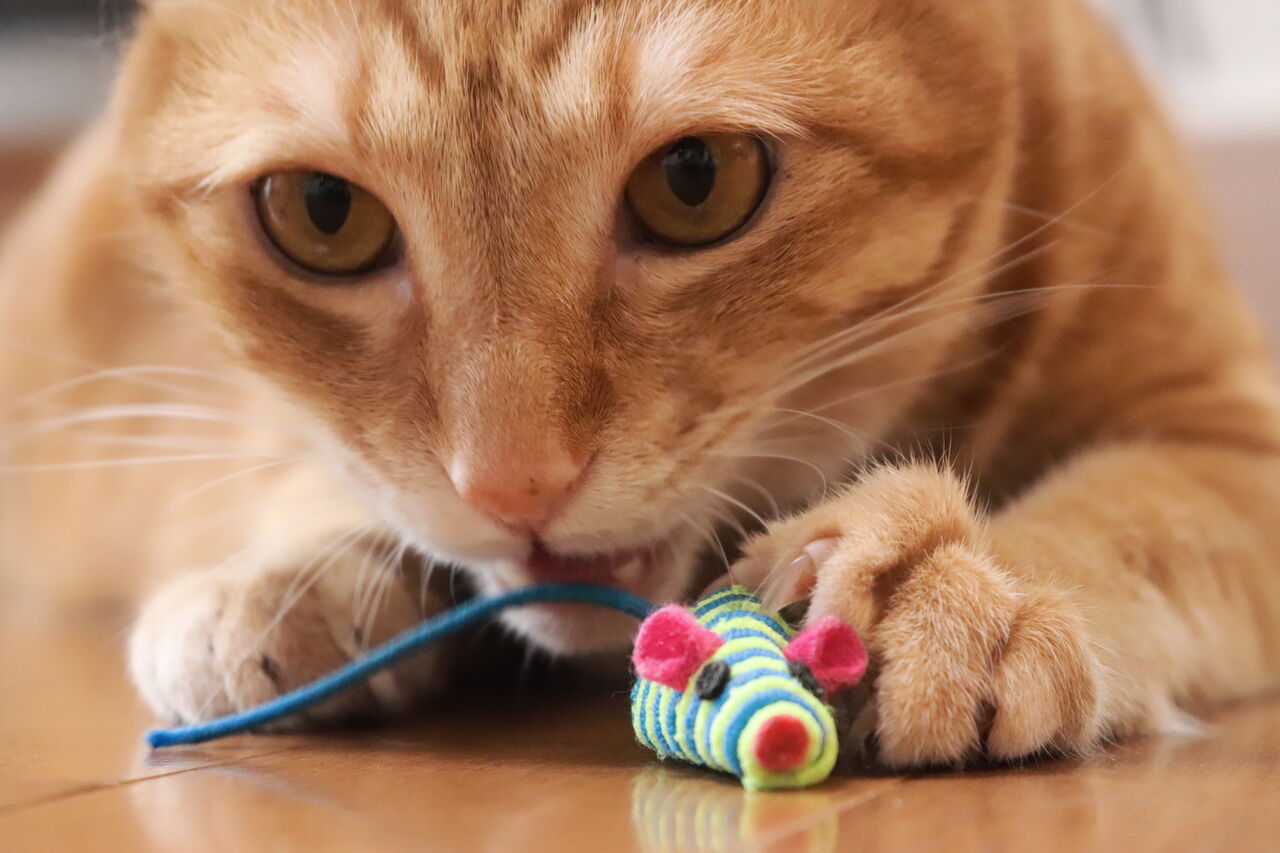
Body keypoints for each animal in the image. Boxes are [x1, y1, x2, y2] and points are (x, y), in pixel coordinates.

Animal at [3, 0, 1280, 768]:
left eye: (696, 180)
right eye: (322, 214)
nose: (512, 482)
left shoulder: (1225, 429)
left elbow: (1132, 512)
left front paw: (951, 584)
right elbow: (286, 445)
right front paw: (292, 569)